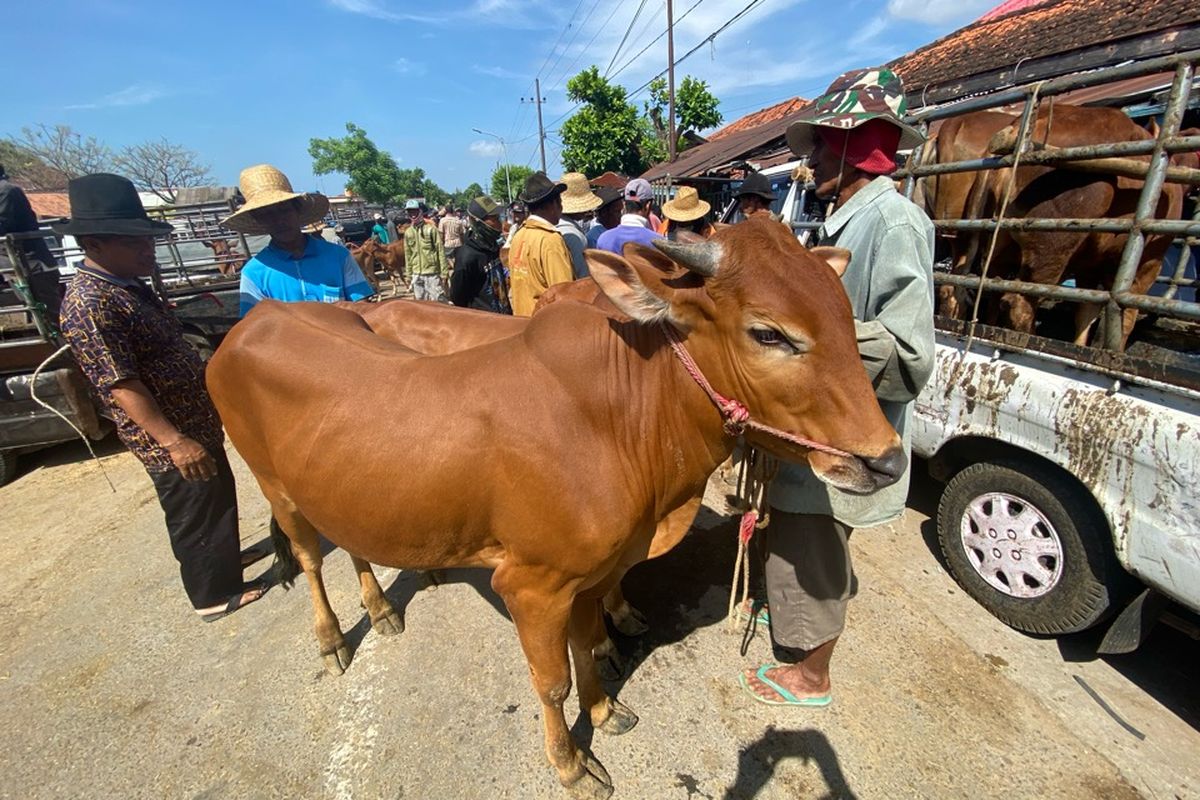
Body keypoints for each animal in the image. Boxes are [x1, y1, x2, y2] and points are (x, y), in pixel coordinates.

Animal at [208, 215, 902, 796]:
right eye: (768, 333)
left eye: (849, 320)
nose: (889, 461)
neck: (622, 419)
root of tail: (253, 321)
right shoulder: (532, 586)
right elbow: (552, 680)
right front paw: (569, 761)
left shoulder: (590, 576)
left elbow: (585, 647)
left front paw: (603, 709)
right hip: (275, 486)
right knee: (308, 556)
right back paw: (332, 639)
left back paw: (381, 608)